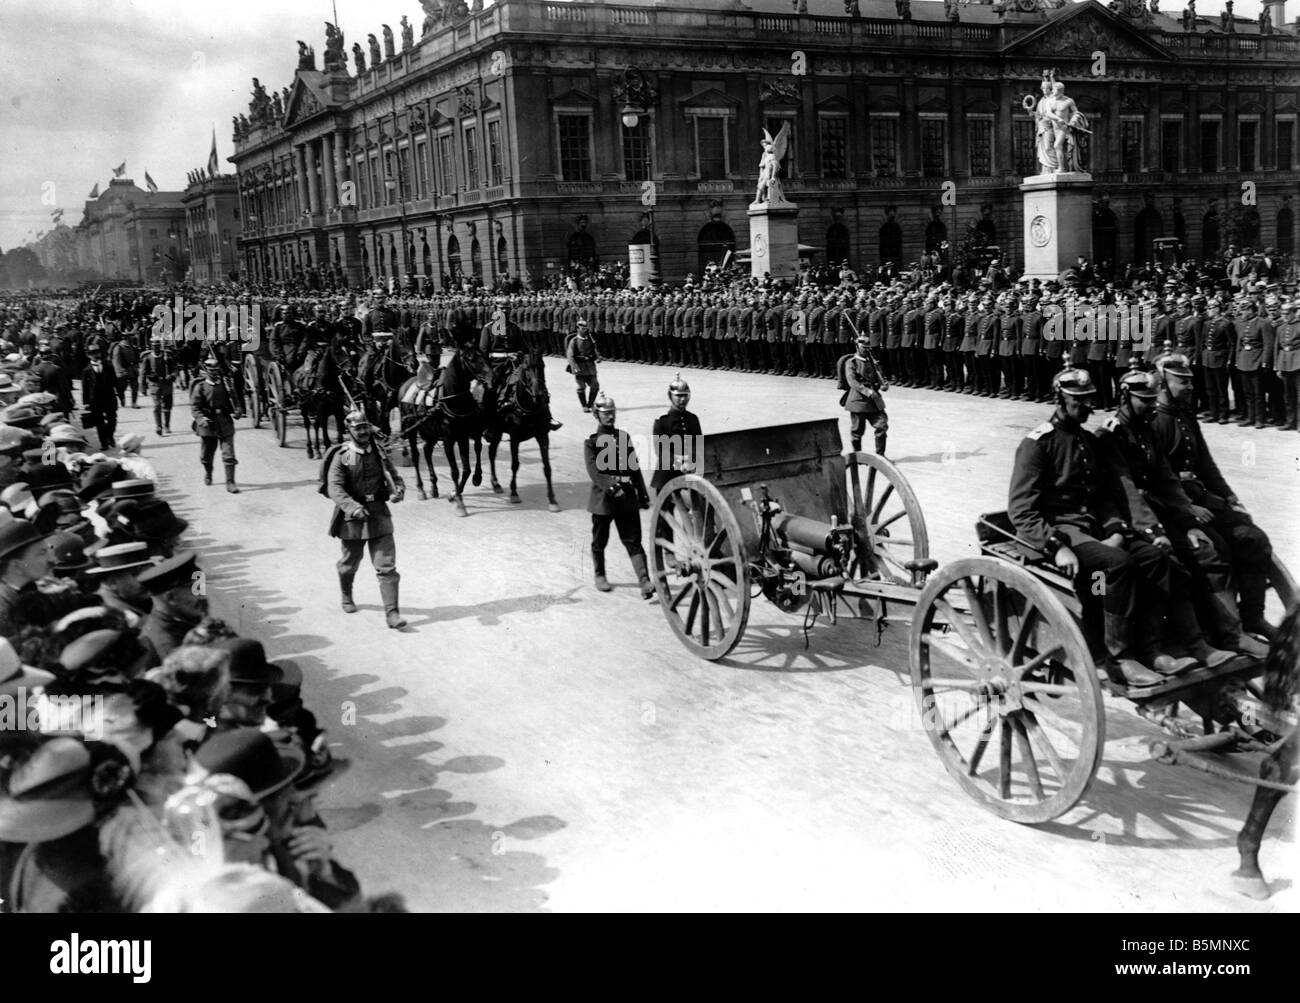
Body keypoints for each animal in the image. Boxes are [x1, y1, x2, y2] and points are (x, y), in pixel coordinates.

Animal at [480, 348, 556, 514]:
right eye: (526, 369)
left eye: (542, 365)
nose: (539, 395)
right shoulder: (515, 437)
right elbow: (515, 464)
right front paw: (514, 493)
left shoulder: (543, 436)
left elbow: (547, 467)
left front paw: (552, 499)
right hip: (496, 431)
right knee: (491, 453)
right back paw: (495, 483)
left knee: (491, 452)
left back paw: (495, 483)